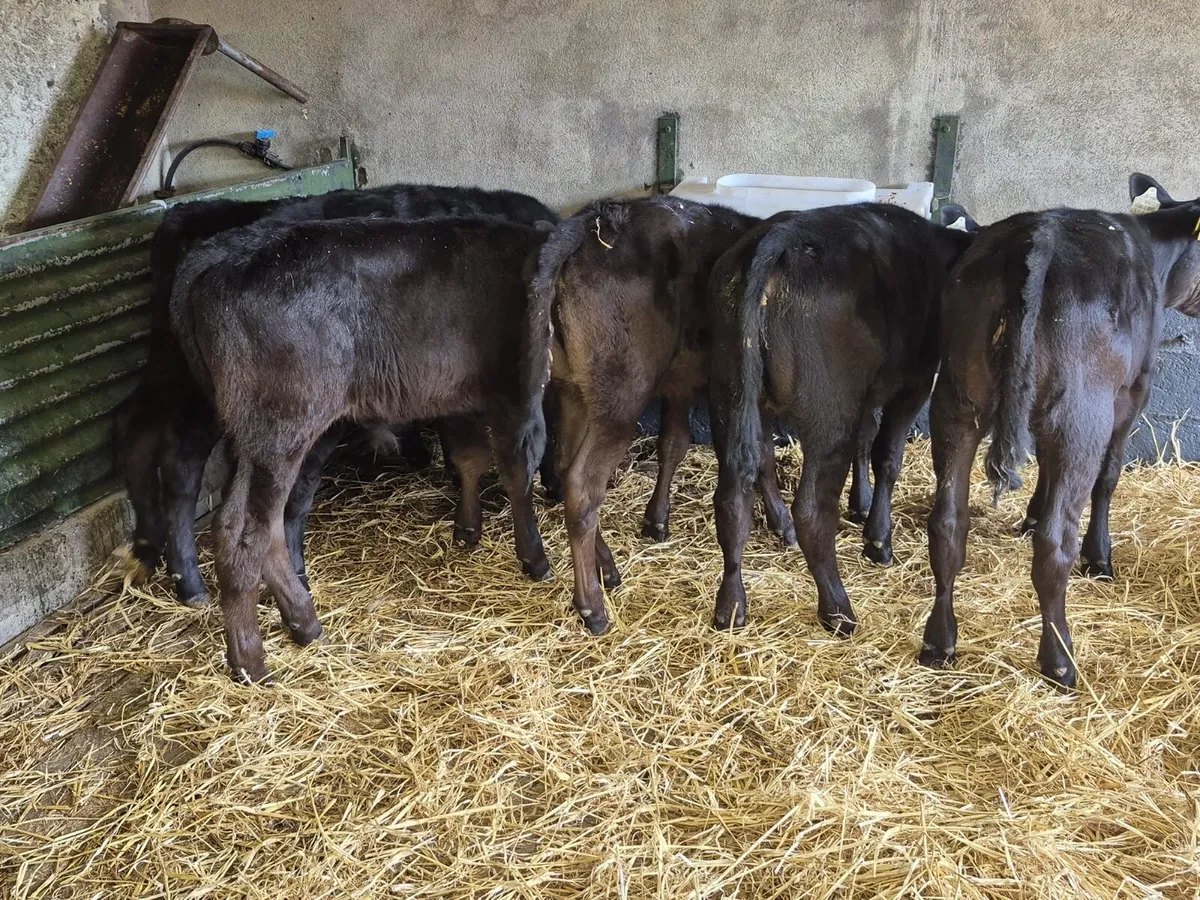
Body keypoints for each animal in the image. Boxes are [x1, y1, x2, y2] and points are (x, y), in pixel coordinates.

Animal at [115, 184, 560, 607]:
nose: (555, 489)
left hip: (175, 371)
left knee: (142, 431)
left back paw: (155, 555)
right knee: (185, 465)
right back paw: (193, 580)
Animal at [169, 216, 554, 683]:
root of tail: (223, 253)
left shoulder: (466, 399)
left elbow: (469, 458)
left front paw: (468, 530)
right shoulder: (519, 389)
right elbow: (519, 469)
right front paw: (534, 558)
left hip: (251, 434)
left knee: (263, 523)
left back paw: (303, 622)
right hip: (280, 424)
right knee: (243, 529)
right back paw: (250, 659)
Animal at [524, 196, 794, 635]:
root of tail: (594, 221)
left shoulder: (680, 385)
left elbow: (674, 443)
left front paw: (656, 520)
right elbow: (762, 456)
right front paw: (783, 523)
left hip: (573, 388)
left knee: (565, 467)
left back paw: (606, 568)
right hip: (621, 394)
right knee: (583, 485)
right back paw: (592, 606)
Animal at [708, 203, 974, 636]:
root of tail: (780, 239)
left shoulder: (865, 395)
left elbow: (865, 440)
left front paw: (860, 504)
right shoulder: (913, 384)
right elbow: (887, 457)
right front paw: (878, 540)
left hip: (729, 395)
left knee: (737, 490)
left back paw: (731, 603)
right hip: (829, 412)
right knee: (813, 509)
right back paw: (838, 608)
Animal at [920, 175, 1200, 689]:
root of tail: (1040, 238)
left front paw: (1029, 516)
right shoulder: (1134, 392)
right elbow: (1108, 478)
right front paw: (1100, 558)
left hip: (955, 398)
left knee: (948, 521)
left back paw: (940, 640)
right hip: (1081, 412)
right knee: (1055, 543)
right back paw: (1060, 659)